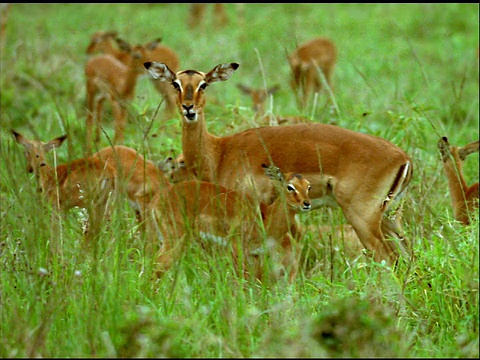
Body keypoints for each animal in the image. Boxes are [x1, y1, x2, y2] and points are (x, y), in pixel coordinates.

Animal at [139, 165, 314, 282]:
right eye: (290, 187)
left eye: (308, 186)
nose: (306, 204)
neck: (265, 217)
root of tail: (156, 200)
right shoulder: (237, 249)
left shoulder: (254, 254)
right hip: (174, 241)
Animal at [144, 62, 414, 266]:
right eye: (176, 83)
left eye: (204, 84)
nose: (188, 108)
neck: (219, 152)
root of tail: (404, 158)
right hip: (388, 218)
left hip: (363, 219)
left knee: (387, 259)